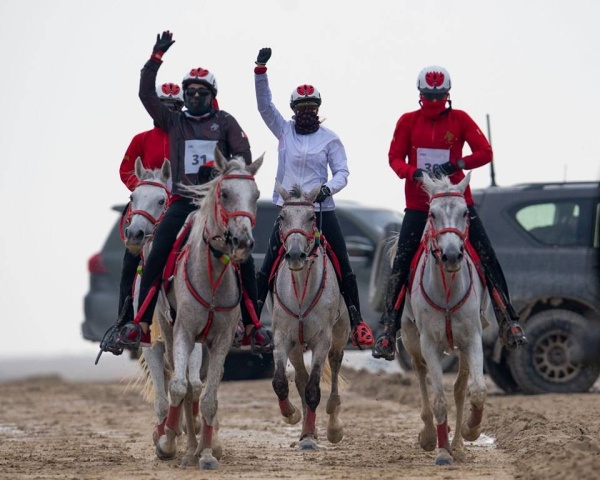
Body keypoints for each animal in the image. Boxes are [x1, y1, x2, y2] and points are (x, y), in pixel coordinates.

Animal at [154, 151, 262, 468]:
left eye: (256, 195)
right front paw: (167, 441)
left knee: (197, 389)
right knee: (183, 384)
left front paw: (208, 453)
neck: (212, 275)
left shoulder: (221, 341)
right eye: (225, 194)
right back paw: (183, 444)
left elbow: (209, 399)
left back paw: (197, 448)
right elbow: (178, 386)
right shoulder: (184, 332)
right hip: (169, 331)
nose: (243, 241)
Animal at [268, 183, 352, 450]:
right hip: (296, 346)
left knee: (334, 364)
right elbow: (281, 382)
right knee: (300, 380)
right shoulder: (282, 338)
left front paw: (312, 436)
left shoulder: (322, 340)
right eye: (282, 217)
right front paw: (293, 416)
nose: (295, 255)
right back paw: (307, 429)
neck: (301, 289)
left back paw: (332, 425)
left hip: (340, 334)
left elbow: (314, 388)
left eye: (311, 217)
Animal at [400, 172, 494, 464]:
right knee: (420, 373)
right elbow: (438, 399)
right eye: (432, 214)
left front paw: (471, 430)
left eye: (465, 213)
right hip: (410, 340)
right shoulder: (429, 343)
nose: (452, 255)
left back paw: (459, 444)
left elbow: (477, 390)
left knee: (460, 388)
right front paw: (441, 451)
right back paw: (431, 436)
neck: (447, 291)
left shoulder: (472, 339)